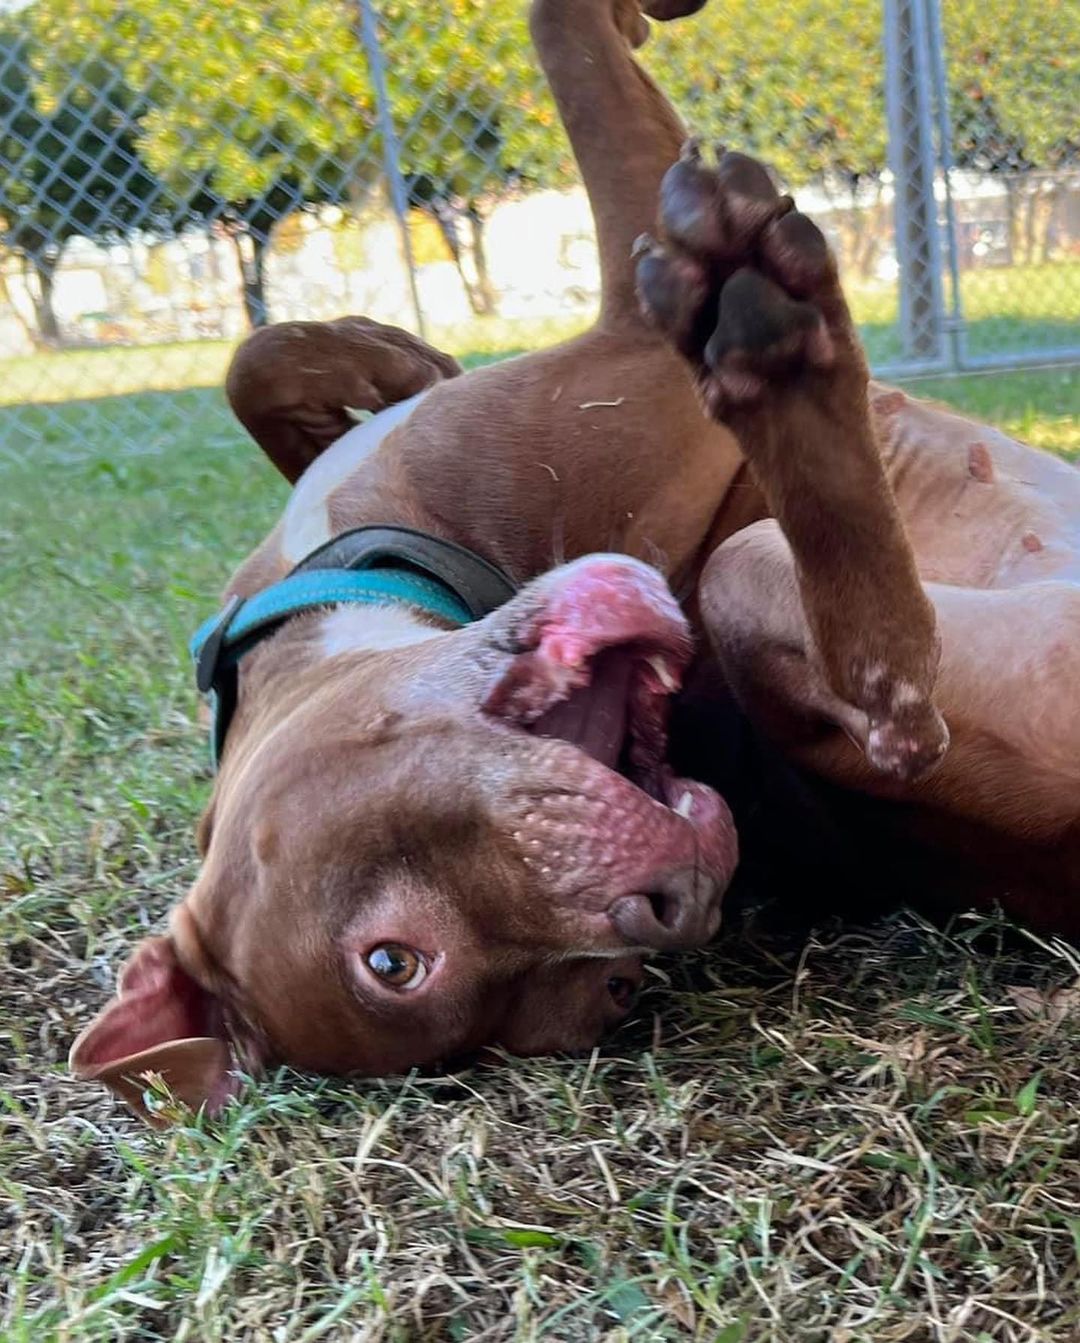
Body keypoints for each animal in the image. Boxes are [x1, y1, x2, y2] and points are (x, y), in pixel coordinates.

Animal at [71, 0, 1074, 1122]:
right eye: (397, 961)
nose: (665, 904)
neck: (341, 573)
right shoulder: (632, 333)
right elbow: (568, 44)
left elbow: (255, 360)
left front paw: (386, 359)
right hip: (788, 584)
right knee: (894, 697)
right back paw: (771, 344)